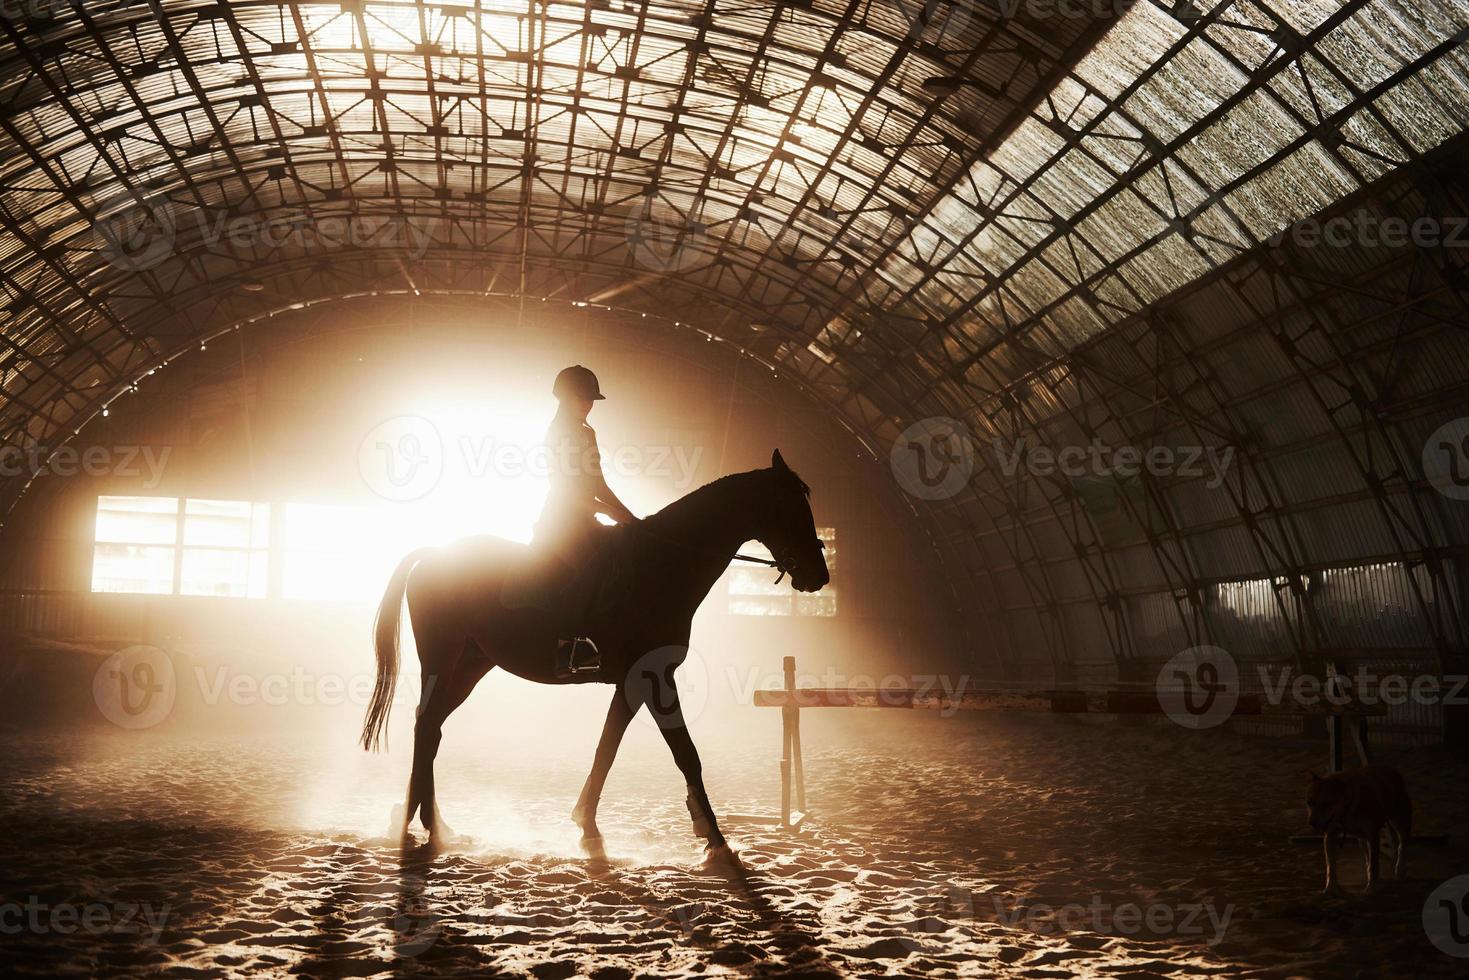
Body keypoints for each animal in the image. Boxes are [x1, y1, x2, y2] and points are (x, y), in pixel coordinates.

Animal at [361, 449, 834, 863]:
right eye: (790, 506)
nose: (818, 575)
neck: (663, 565)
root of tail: (436, 554)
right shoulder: (655, 677)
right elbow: (685, 753)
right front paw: (715, 837)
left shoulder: (633, 682)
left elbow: (607, 747)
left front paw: (587, 824)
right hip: (443, 658)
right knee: (427, 726)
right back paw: (424, 824)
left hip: (471, 665)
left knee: (432, 726)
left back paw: (427, 821)